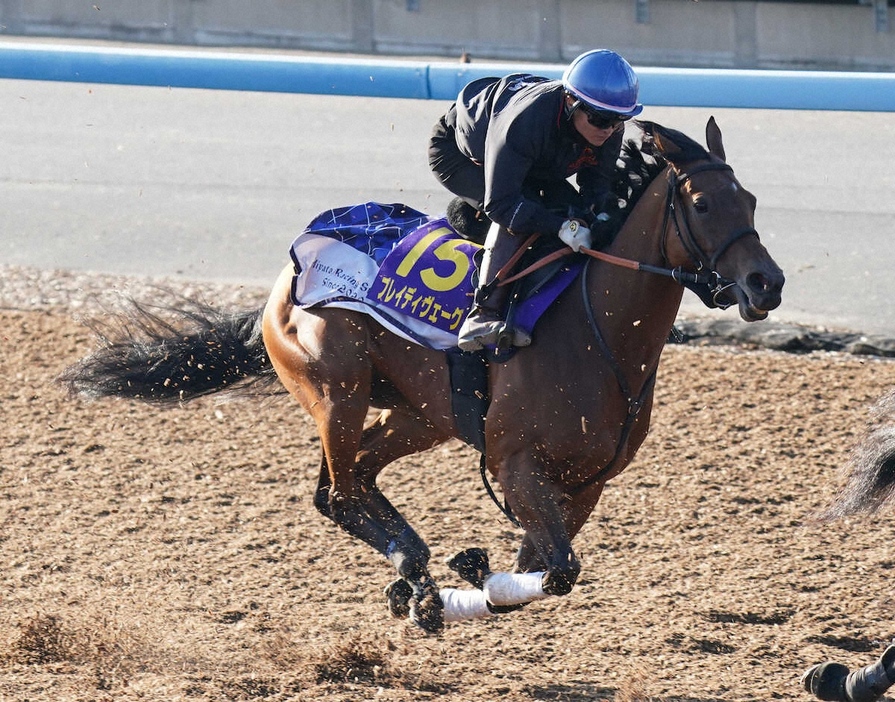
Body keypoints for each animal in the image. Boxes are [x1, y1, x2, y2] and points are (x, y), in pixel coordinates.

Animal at [61, 117, 784, 640]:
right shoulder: (516, 466)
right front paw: (458, 579)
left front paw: (468, 581)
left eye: (750, 198)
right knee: (339, 492)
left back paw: (416, 577)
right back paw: (412, 566)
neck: (595, 333)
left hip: (418, 415)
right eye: (701, 202)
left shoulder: (585, 485)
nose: (765, 283)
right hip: (337, 390)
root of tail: (286, 271)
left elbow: (542, 572)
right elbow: (558, 572)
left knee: (356, 478)